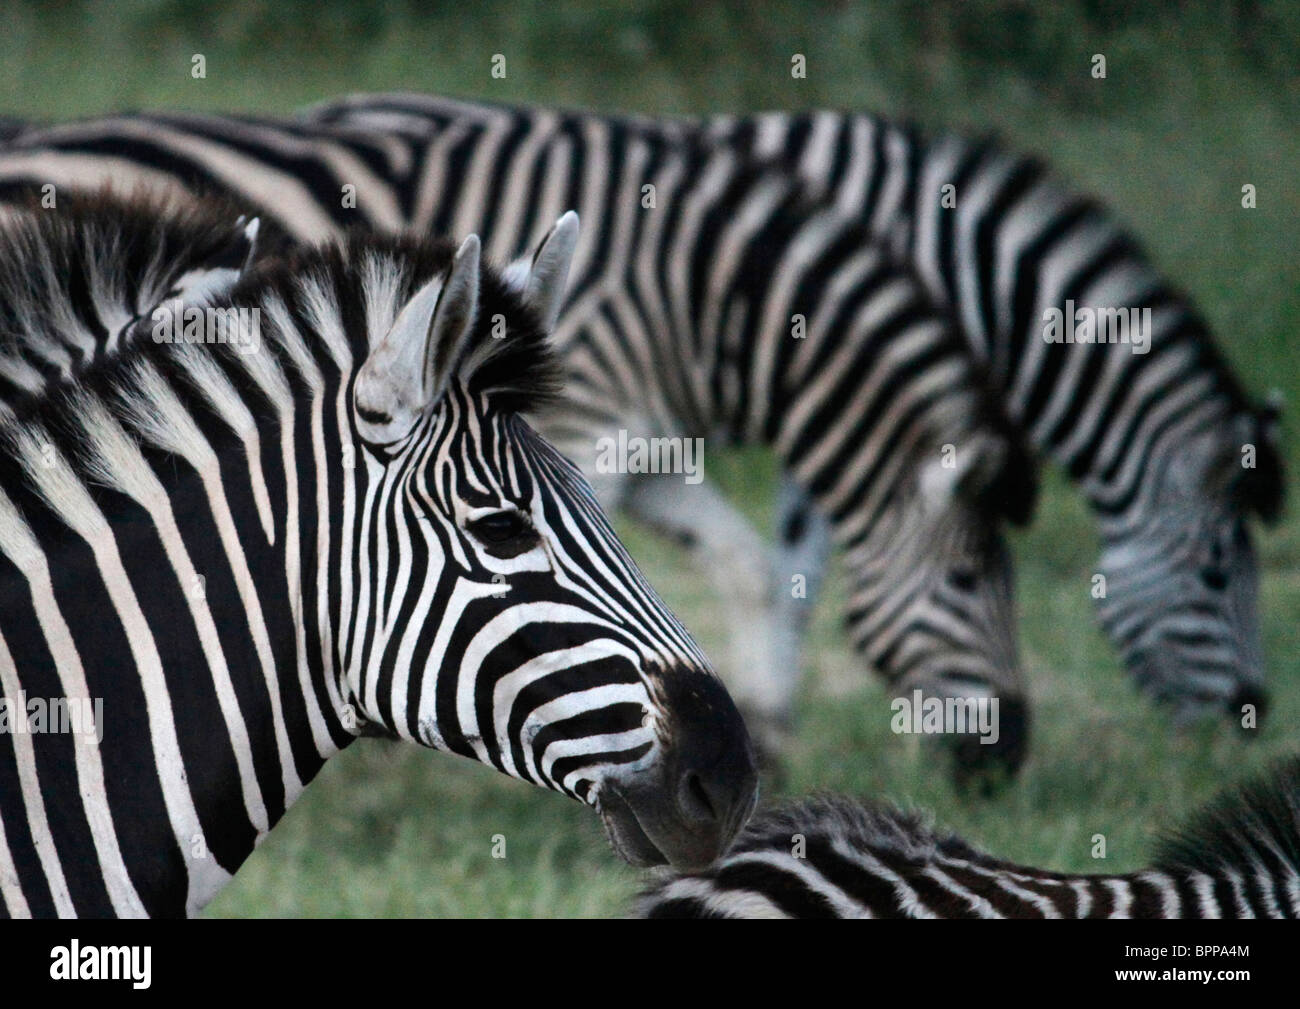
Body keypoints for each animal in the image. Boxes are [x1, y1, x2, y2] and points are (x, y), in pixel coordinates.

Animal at [0, 108, 1042, 780]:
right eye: (966, 580)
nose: (1004, 760)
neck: (695, 285)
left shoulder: (632, 448)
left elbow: (746, 566)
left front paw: (774, 739)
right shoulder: (594, 425)